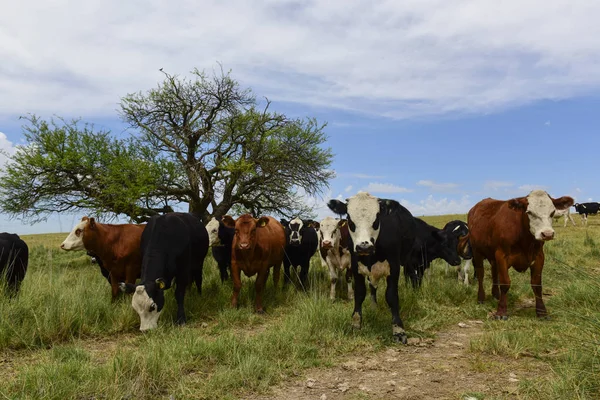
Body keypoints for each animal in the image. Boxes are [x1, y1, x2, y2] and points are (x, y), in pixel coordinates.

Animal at [328, 192, 418, 342]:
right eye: (350, 220)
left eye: (376, 219)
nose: (364, 246)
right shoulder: (355, 267)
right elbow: (359, 294)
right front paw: (356, 324)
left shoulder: (394, 268)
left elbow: (392, 296)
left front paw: (398, 330)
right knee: (372, 286)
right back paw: (374, 307)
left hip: (409, 259)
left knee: (413, 275)